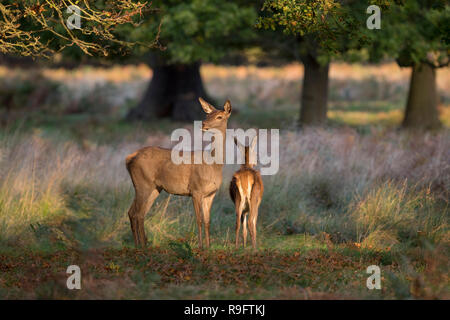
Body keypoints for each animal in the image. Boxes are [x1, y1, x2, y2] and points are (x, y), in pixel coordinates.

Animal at [125, 98, 232, 250]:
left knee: (138, 213)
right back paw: (140, 246)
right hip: (142, 183)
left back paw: (142, 245)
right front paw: (200, 246)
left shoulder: (210, 194)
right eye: (207, 115)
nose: (204, 124)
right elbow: (199, 219)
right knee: (135, 212)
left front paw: (209, 246)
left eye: (219, 116)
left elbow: (207, 221)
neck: (213, 165)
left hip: (154, 188)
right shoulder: (195, 190)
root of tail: (129, 158)